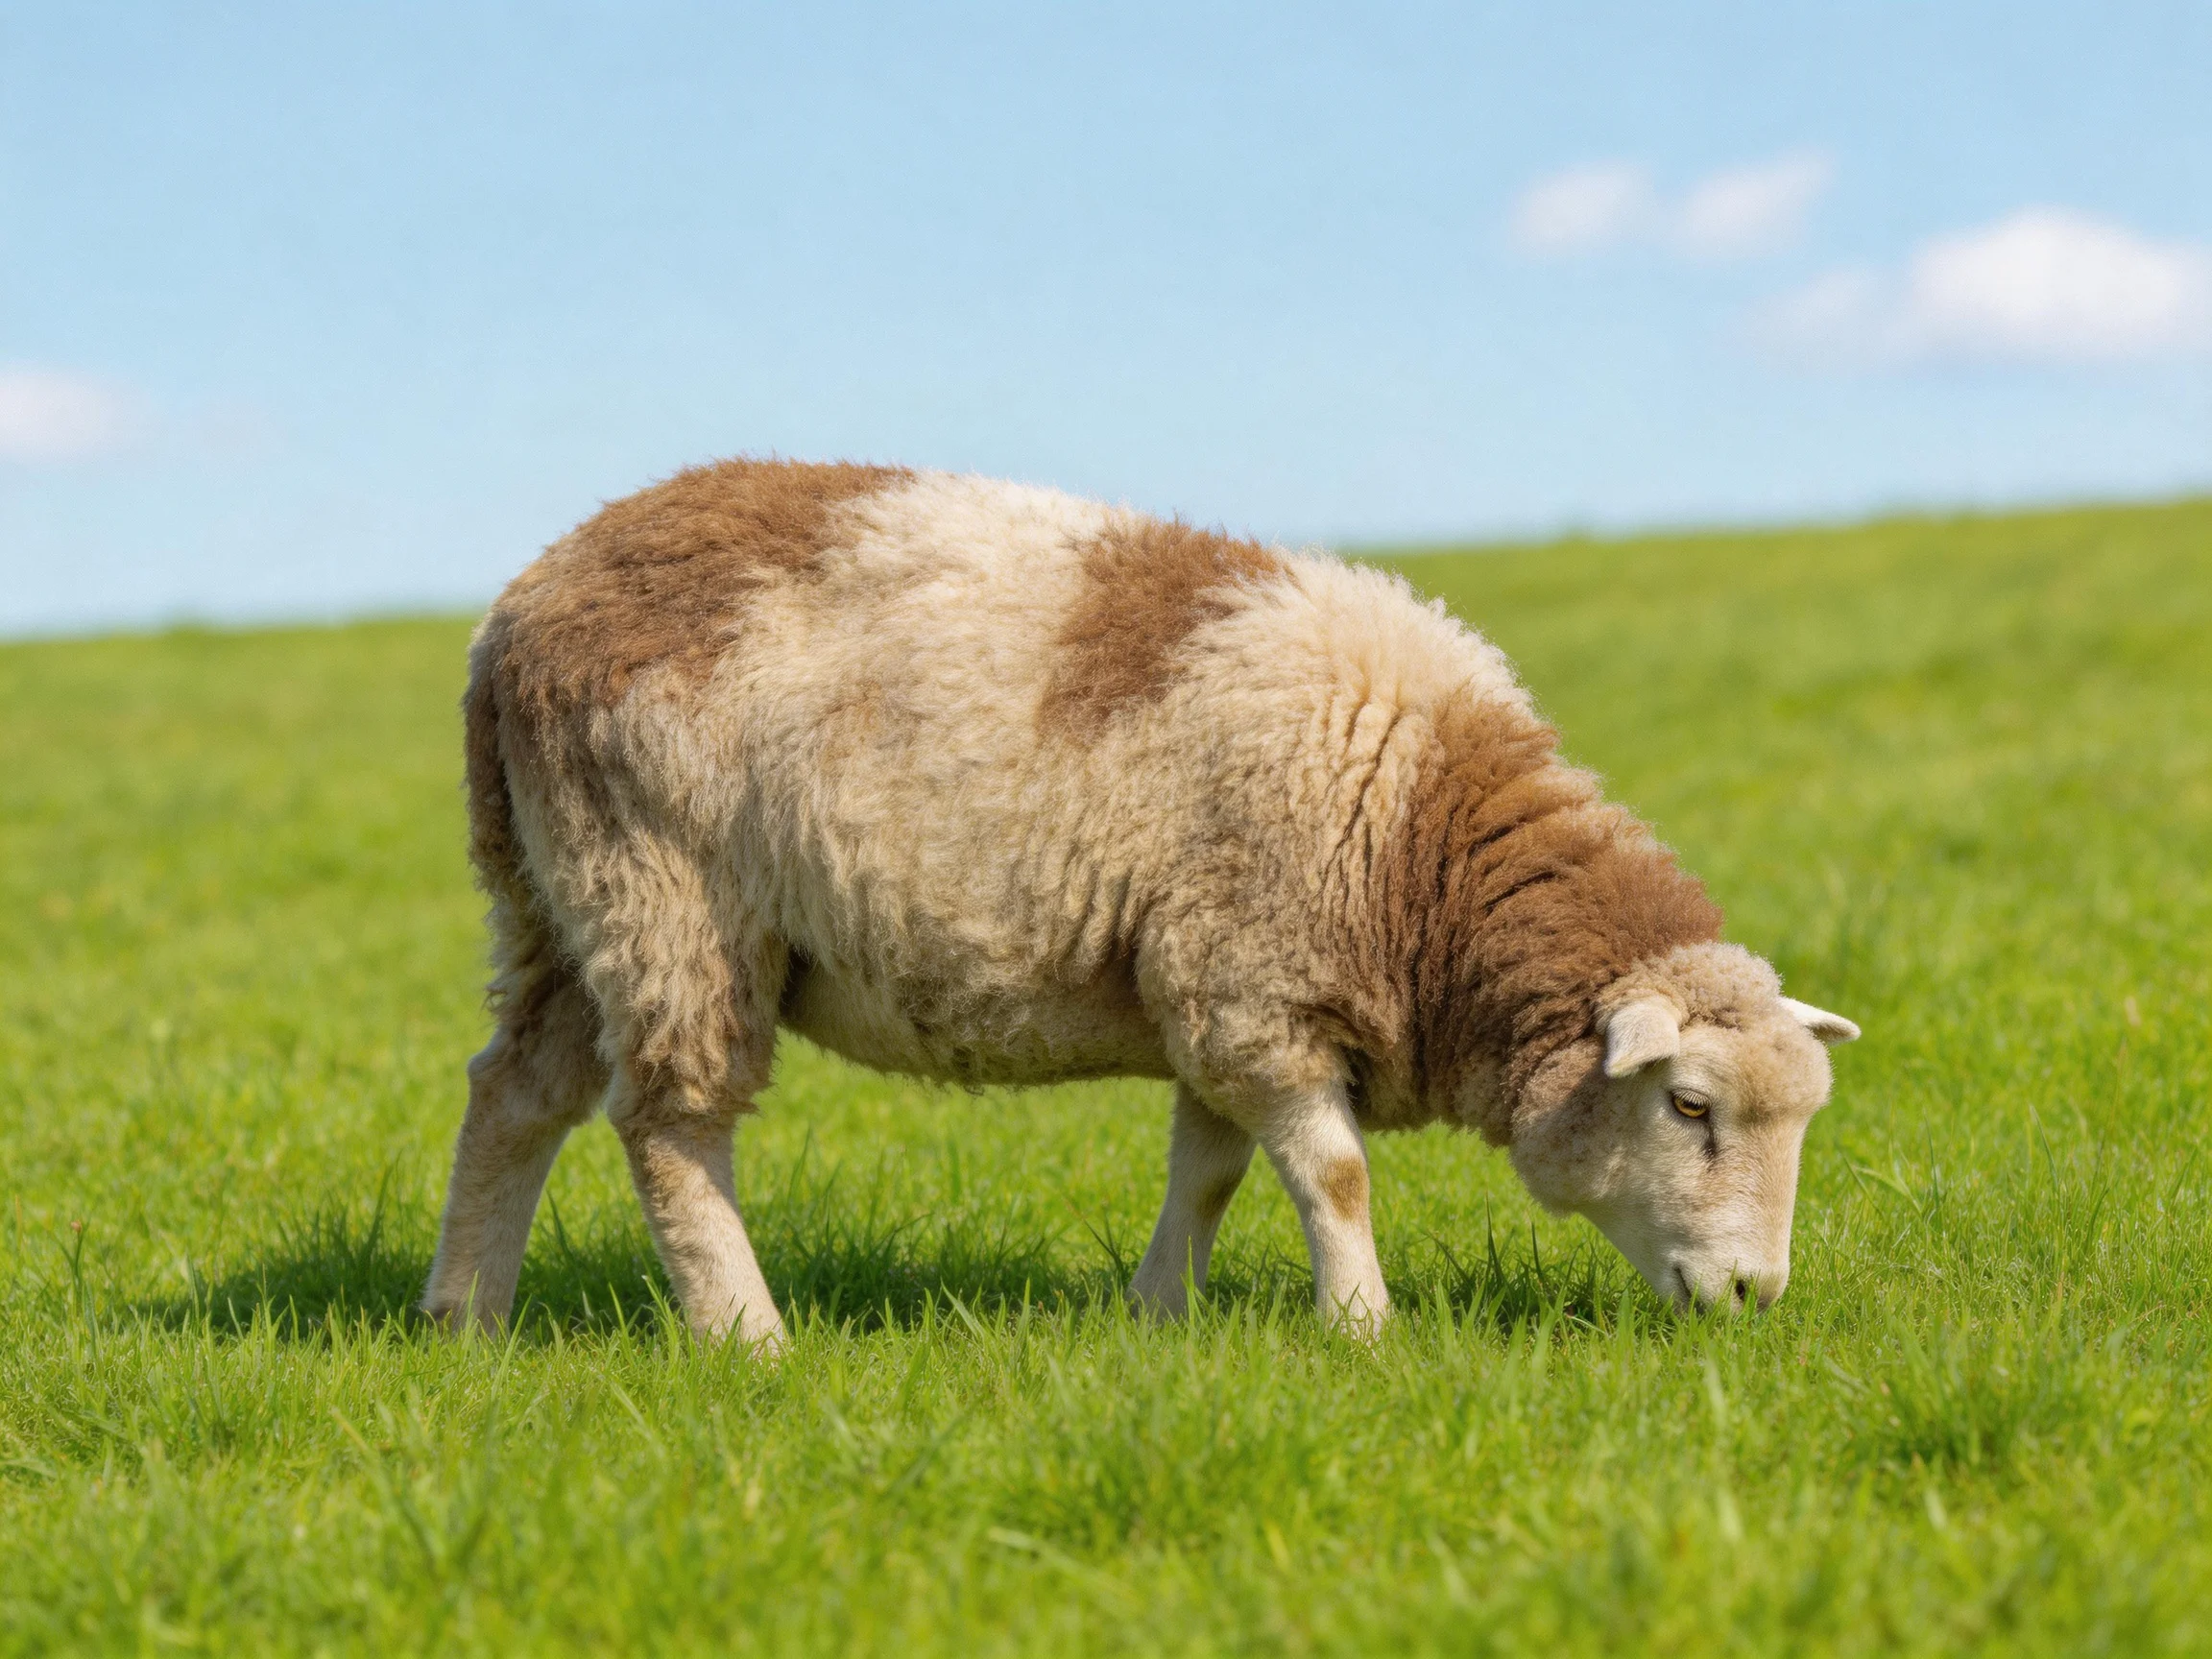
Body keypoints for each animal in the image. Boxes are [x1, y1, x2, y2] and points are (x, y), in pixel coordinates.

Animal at [421, 458, 1858, 1349]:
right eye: (1690, 1108)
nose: (1755, 1295)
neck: (1419, 844)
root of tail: (521, 606)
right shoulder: (1254, 981)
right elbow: (1334, 1173)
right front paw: (1364, 1328)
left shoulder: (1213, 994)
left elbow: (1209, 1170)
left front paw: (1159, 1315)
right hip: (666, 890)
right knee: (667, 1122)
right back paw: (745, 1337)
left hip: (551, 894)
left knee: (515, 1093)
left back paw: (464, 1320)